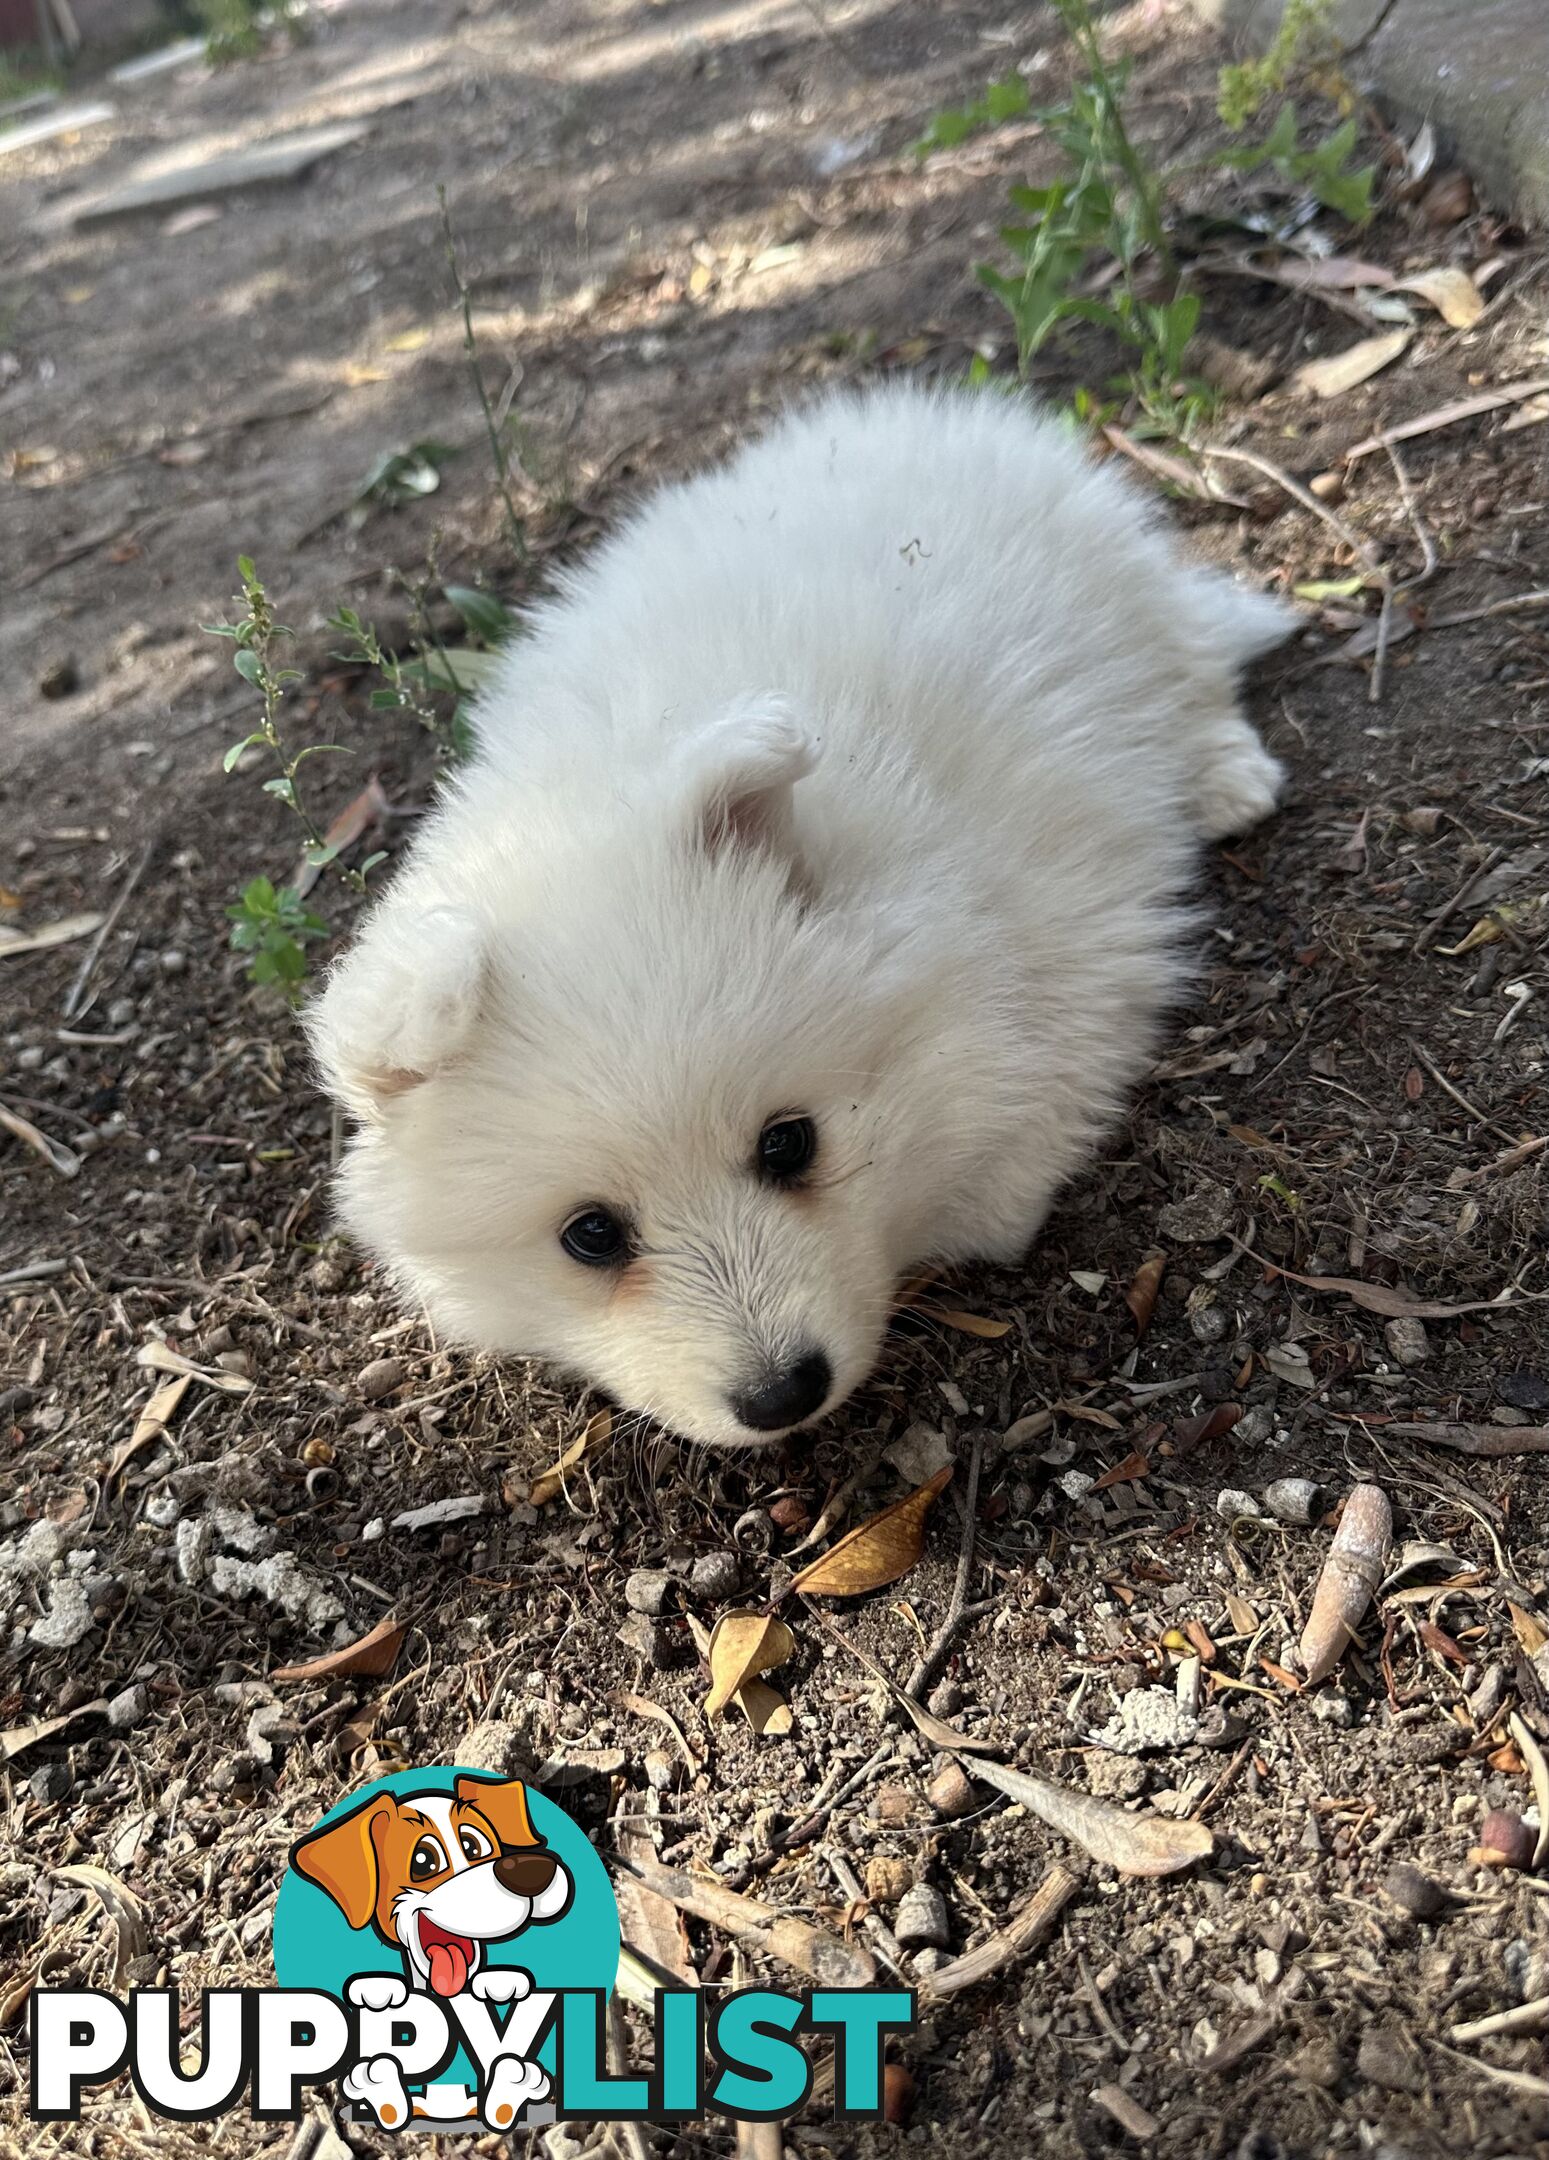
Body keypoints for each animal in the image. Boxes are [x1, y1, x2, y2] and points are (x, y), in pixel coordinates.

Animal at [308, 388, 1287, 1451]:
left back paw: (1228, 774)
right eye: (590, 1235)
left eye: (789, 1143)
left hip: (1122, 599)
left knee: (1193, 662)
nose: (782, 1394)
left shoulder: (1074, 932)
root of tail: (909, 410)